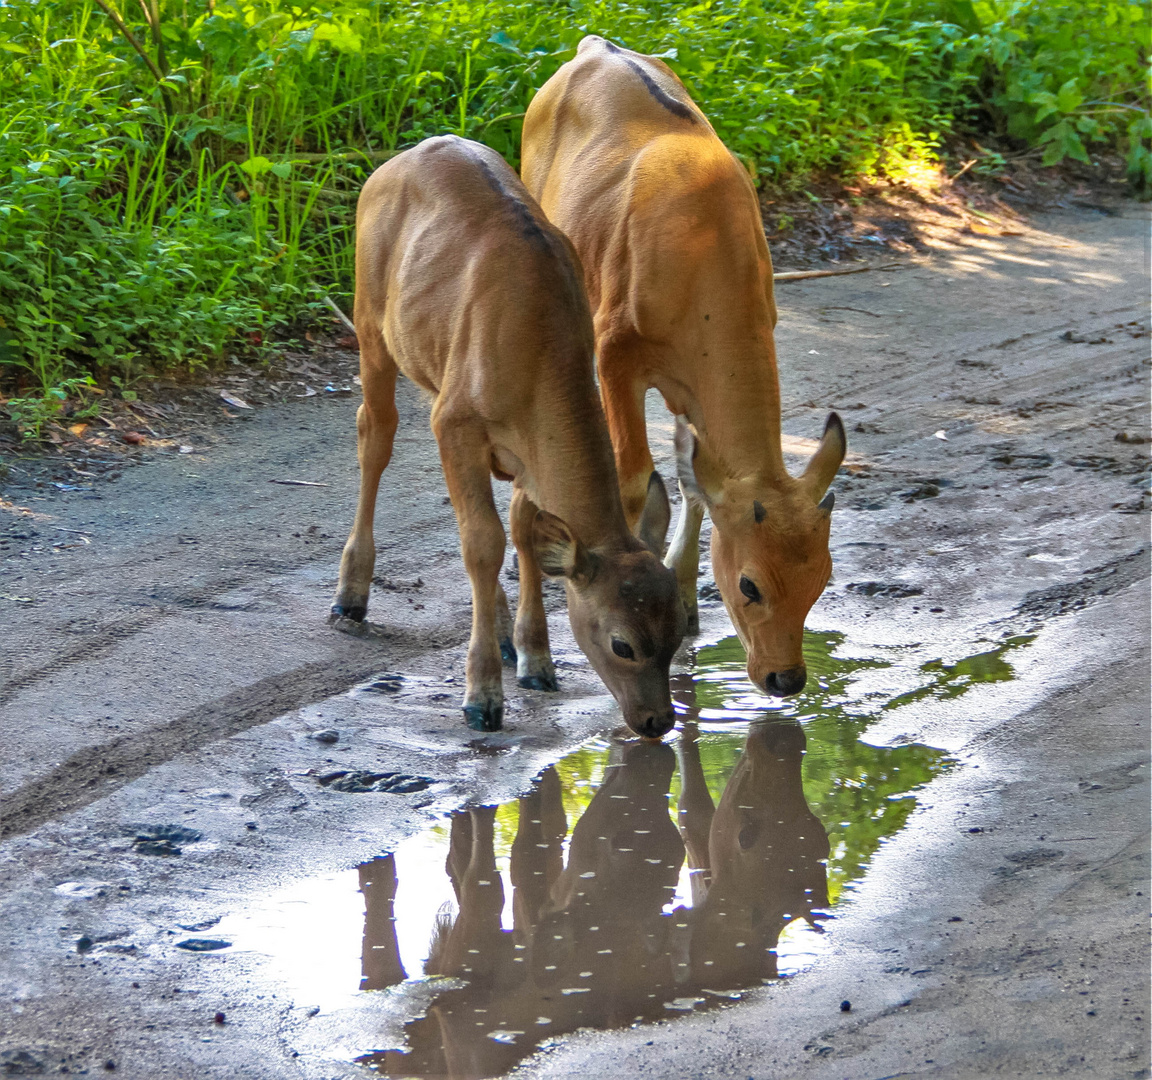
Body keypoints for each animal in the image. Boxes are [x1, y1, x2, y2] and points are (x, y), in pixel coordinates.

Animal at [329, 134, 681, 732]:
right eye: (623, 644)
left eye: (678, 634)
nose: (657, 720)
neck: (538, 348)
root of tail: (401, 159)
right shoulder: (457, 420)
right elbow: (483, 543)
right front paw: (483, 696)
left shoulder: (524, 450)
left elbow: (520, 533)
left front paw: (536, 660)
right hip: (371, 320)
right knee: (374, 436)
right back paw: (350, 595)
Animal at [523, 37, 847, 695]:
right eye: (750, 584)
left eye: (822, 579)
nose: (785, 678)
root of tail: (593, 45)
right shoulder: (615, 355)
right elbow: (632, 484)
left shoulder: (697, 388)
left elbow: (692, 484)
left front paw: (687, 603)